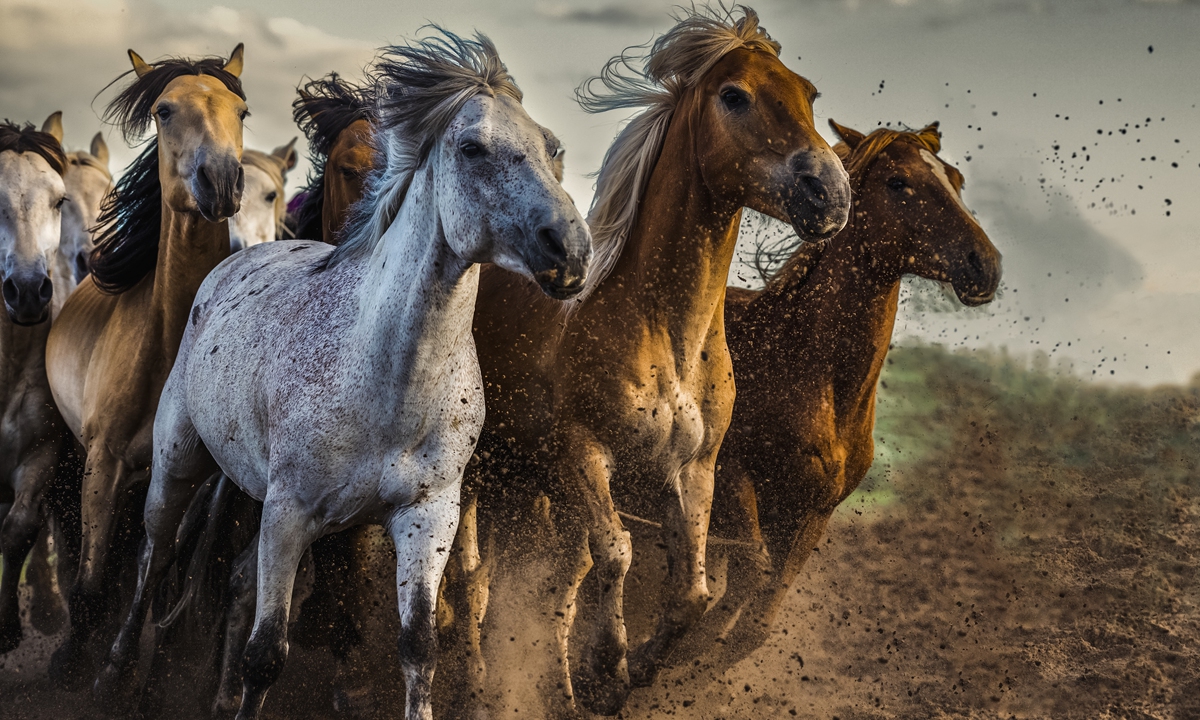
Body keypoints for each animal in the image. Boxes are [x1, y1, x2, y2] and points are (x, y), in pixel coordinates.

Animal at [43, 44, 248, 685]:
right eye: (163, 110)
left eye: (242, 110)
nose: (222, 179)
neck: (165, 345)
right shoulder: (102, 462)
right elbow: (91, 575)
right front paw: (72, 660)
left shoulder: (187, 478)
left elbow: (156, 568)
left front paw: (136, 666)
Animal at [95, 29, 592, 720]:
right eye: (472, 147)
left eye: (551, 146)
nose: (570, 249)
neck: (389, 377)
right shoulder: (288, 514)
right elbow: (266, 654)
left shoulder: (428, 516)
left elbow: (419, 648)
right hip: (178, 460)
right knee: (155, 553)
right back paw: (117, 672)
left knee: (231, 578)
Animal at [463, 6, 851, 715]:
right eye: (735, 96)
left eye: (808, 93)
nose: (829, 194)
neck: (666, 337)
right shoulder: (584, 451)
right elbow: (616, 552)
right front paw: (606, 669)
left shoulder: (693, 470)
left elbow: (691, 592)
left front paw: (634, 671)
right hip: (480, 474)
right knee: (466, 576)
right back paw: (475, 678)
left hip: (521, 483)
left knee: (524, 585)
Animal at [663, 120, 1003, 674]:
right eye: (898, 183)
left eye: (955, 179)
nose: (986, 264)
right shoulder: (731, 479)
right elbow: (749, 577)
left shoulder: (813, 514)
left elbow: (758, 616)